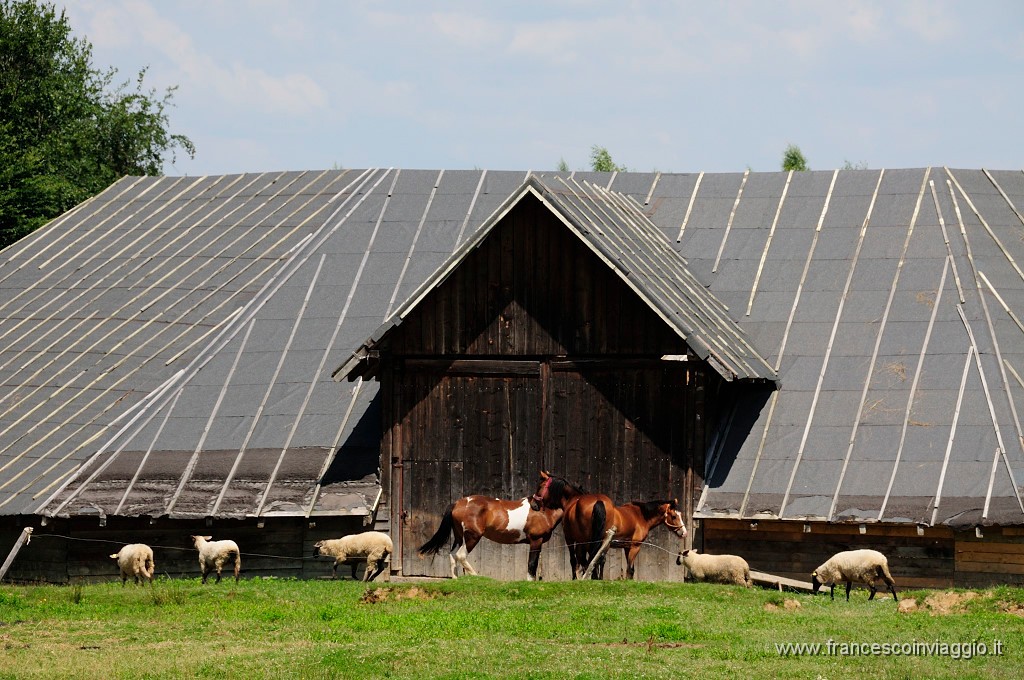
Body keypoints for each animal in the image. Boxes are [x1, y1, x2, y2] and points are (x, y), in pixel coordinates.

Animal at [413, 473, 585, 577]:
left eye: (540, 487)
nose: (535, 505)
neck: (546, 512)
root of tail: (457, 503)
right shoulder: (536, 541)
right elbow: (531, 565)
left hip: (459, 537)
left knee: (452, 555)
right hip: (472, 537)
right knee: (461, 555)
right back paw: (476, 577)